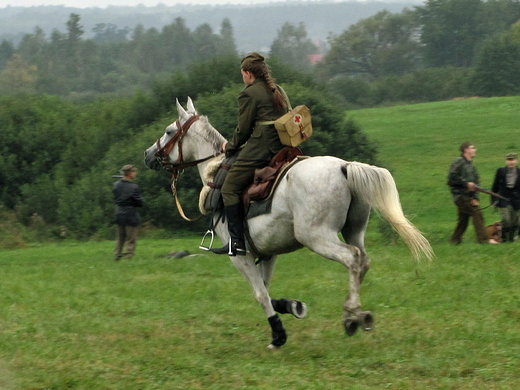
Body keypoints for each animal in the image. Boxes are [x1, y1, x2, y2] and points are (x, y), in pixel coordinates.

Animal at [144, 99, 432, 348]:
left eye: (169, 131)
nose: (148, 155)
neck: (216, 173)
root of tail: (344, 167)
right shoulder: (268, 253)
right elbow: (266, 290)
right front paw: (293, 306)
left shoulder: (240, 255)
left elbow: (260, 294)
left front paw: (278, 335)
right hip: (354, 230)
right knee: (363, 260)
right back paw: (357, 315)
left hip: (317, 237)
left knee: (352, 258)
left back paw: (351, 315)